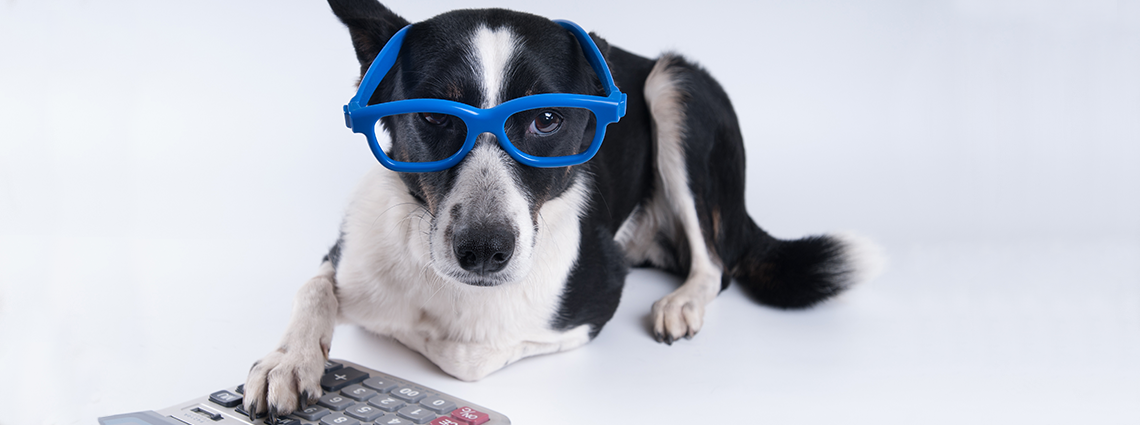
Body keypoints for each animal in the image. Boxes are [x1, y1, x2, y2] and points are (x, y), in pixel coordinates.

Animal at [245, 0, 875, 417]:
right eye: (433, 116)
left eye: (547, 119)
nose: (483, 252)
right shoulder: (347, 247)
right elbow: (314, 286)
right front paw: (288, 361)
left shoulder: (592, 299)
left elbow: (461, 354)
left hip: (677, 89)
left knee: (716, 261)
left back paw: (682, 302)